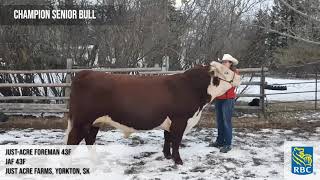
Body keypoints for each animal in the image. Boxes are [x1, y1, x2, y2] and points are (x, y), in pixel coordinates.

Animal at [65, 61, 240, 165]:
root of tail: (85, 73)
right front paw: (178, 161)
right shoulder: (180, 120)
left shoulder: (170, 122)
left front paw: (167, 156)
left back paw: (95, 160)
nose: (239, 77)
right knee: (72, 141)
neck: (191, 88)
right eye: (225, 72)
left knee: (89, 140)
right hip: (82, 121)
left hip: (95, 122)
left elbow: (167, 139)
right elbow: (176, 141)